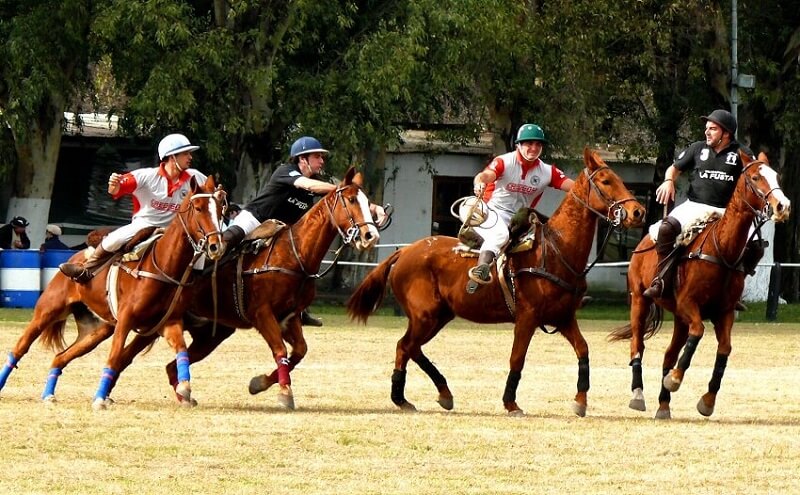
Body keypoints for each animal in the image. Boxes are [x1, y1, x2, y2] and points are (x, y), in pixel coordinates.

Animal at [0, 176, 225, 408]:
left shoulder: (167, 323)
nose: (216, 246)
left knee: (60, 356)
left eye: (220, 210)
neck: (163, 266)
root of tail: (73, 258)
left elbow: (181, 350)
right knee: (19, 348)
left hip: (96, 330)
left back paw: (48, 395)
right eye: (198, 208)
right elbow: (115, 357)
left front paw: (185, 389)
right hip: (47, 312)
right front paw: (100, 398)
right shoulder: (126, 320)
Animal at [346, 148, 648, 418]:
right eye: (606, 181)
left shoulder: (563, 317)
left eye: (620, 178)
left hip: (440, 315)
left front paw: (580, 400)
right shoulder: (527, 317)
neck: (557, 250)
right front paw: (511, 404)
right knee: (405, 346)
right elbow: (517, 358)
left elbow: (583, 350)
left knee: (409, 347)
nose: (638, 212)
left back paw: (433, 394)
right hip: (425, 315)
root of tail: (404, 251)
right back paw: (407, 397)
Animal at [608, 151, 792, 418]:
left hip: (677, 317)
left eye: (777, 176)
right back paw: (638, 394)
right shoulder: (689, 304)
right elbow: (698, 332)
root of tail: (644, 241)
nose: (782, 206)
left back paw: (663, 405)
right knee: (637, 344)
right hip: (639, 299)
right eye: (756, 177)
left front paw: (707, 400)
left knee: (669, 353)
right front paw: (675, 380)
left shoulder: (723, 312)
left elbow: (724, 349)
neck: (722, 250)